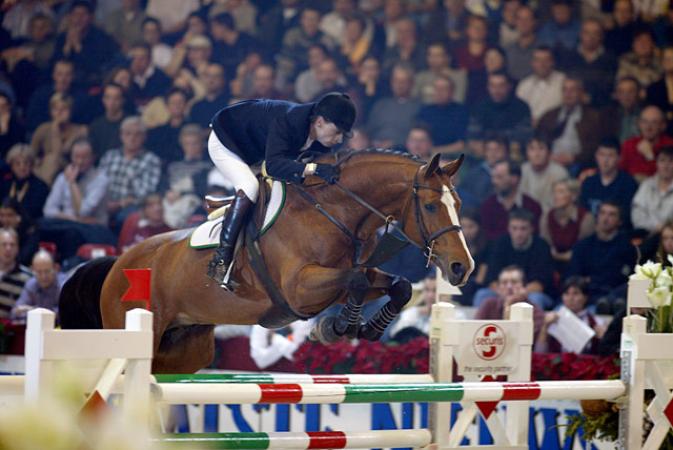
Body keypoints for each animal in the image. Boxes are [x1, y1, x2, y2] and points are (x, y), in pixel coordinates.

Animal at [59, 149, 474, 373]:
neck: (334, 212)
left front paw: (364, 329)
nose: (462, 268)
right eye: (431, 206)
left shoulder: (340, 279)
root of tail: (116, 263)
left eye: (459, 202)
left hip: (185, 349)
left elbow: (395, 285)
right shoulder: (301, 288)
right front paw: (337, 328)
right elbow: (356, 281)